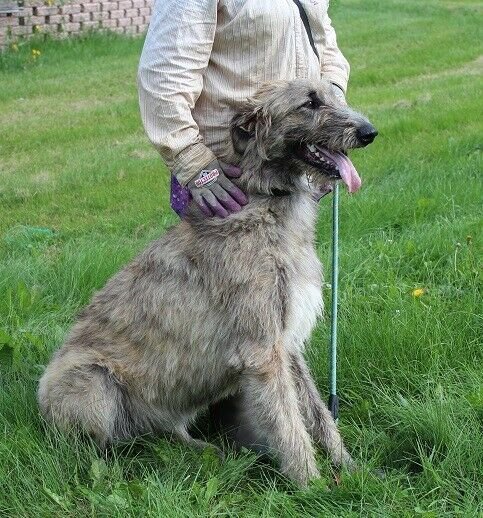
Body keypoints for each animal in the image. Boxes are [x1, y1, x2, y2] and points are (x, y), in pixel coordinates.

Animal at [37, 79, 378, 490]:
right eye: (309, 103)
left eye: (336, 94)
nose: (369, 132)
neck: (265, 202)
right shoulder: (262, 351)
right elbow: (288, 423)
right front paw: (312, 488)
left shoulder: (287, 344)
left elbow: (316, 413)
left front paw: (350, 467)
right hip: (92, 384)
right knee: (106, 448)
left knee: (162, 435)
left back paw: (211, 452)